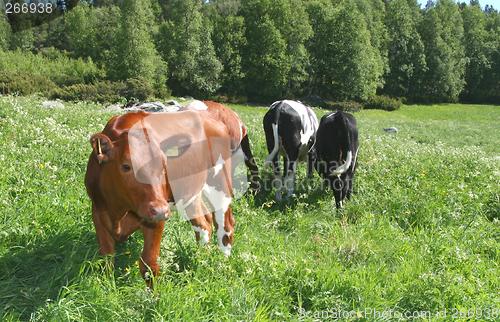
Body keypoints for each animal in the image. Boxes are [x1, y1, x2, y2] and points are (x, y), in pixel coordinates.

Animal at [86, 109, 238, 286]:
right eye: (126, 166)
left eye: (164, 166)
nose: (160, 210)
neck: (119, 211)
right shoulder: (98, 211)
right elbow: (106, 256)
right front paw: (107, 285)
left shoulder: (157, 219)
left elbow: (149, 264)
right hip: (189, 189)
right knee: (204, 223)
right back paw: (201, 257)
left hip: (220, 180)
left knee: (225, 222)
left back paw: (222, 261)